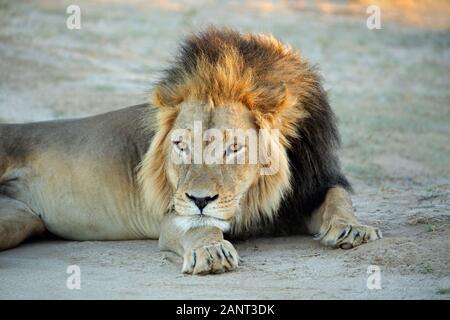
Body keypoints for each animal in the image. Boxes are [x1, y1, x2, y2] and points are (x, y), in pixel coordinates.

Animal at [0, 28, 382, 276]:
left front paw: (353, 229)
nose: (200, 199)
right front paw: (210, 251)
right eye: (181, 145)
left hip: (22, 219)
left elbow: (338, 198)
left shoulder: (310, 188)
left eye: (233, 148)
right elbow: (199, 228)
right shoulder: (172, 215)